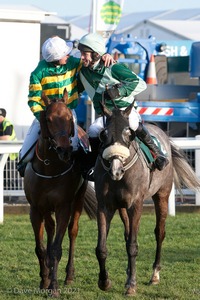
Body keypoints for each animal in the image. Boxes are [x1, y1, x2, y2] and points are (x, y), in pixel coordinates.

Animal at [23, 89, 97, 298]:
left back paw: (69, 275)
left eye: (69, 118)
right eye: (48, 119)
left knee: (72, 231)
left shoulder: (63, 207)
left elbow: (56, 248)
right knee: (50, 228)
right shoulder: (35, 209)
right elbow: (40, 248)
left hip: (78, 198)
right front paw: (44, 280)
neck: (50, 168)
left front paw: (54, 286)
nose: (65, 149)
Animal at [93, 101, 200, 296]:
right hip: (122, 207)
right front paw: (104, 281)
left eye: (129, 134)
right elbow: (101, 248)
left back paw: (155, 275)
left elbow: (133, 246)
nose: (116, 171)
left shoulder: (136, 205)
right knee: (127, 234)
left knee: (160, 232)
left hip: (162, 195)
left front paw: (131, 285)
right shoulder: (105, 206)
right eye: (103, 134)